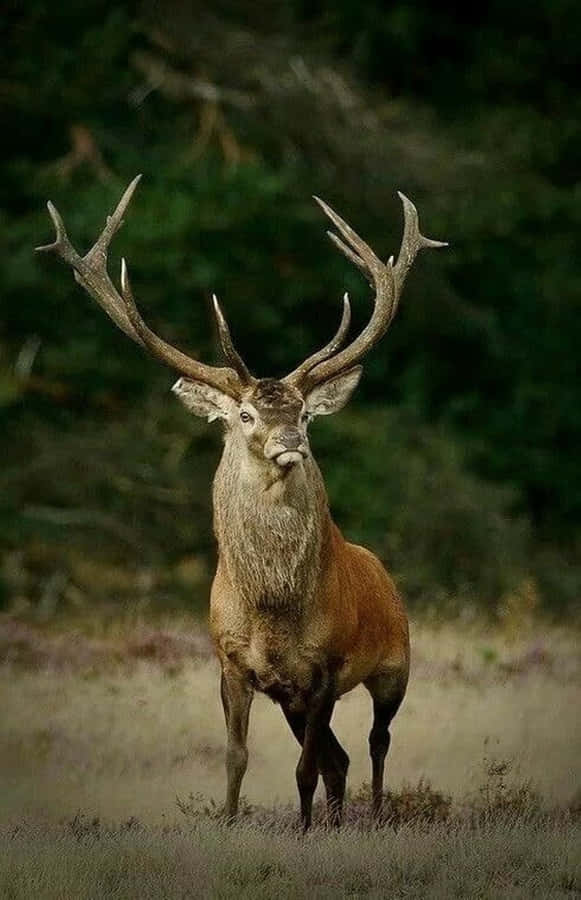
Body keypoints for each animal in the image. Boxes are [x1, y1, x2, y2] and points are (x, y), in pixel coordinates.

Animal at [36, 176, 446, 829]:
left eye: (304, 412)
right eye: (247, 414)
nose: (292, 442)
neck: (272, 611)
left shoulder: (327, 670)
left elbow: (303, 769)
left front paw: (303, 834)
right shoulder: (232, 664)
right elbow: (238, 756)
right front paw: (233, 823)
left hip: (395, 665)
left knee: (377, 743)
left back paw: (376, 814)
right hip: (296, 699)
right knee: (341, 758)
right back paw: (337, 822)